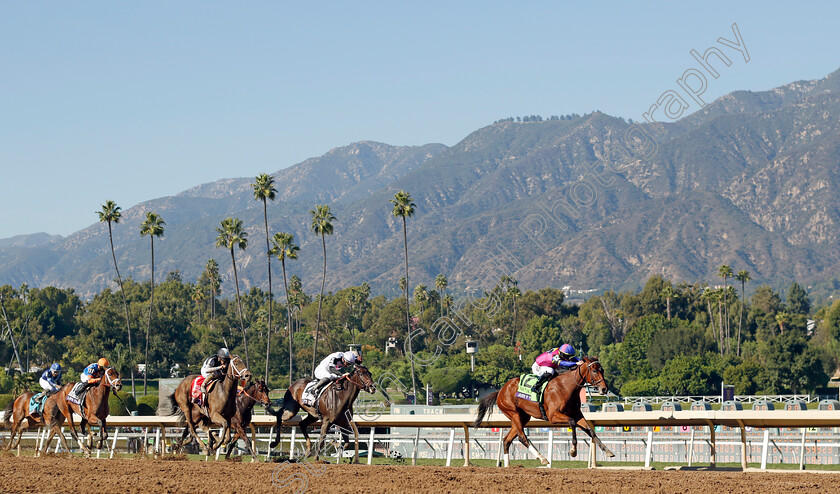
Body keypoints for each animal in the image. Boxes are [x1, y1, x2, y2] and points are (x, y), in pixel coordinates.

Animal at [472, 356, 616, 466]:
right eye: (594, 370)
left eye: (602, 370)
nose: (604, 389)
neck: (566, 387)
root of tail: (501, 390)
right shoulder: (553, 416)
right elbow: (572, 422)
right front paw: (573, 450)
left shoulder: (577, 413)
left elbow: (590, 430)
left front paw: (607, 450)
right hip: (513, 413)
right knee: (522, 437)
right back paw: (543, 458)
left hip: (523, 417)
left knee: (507, 440)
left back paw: (508, 466)